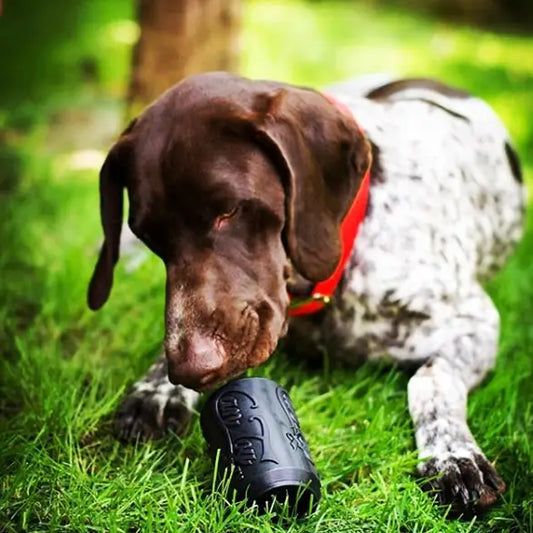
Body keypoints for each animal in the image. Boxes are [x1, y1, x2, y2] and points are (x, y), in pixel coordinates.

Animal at [86, 71, 524, 512]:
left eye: (229, 210)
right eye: (149, 234)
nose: (189, 369)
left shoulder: (477, 322)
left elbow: (431, 380)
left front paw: (452, 453)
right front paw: (158, 388)